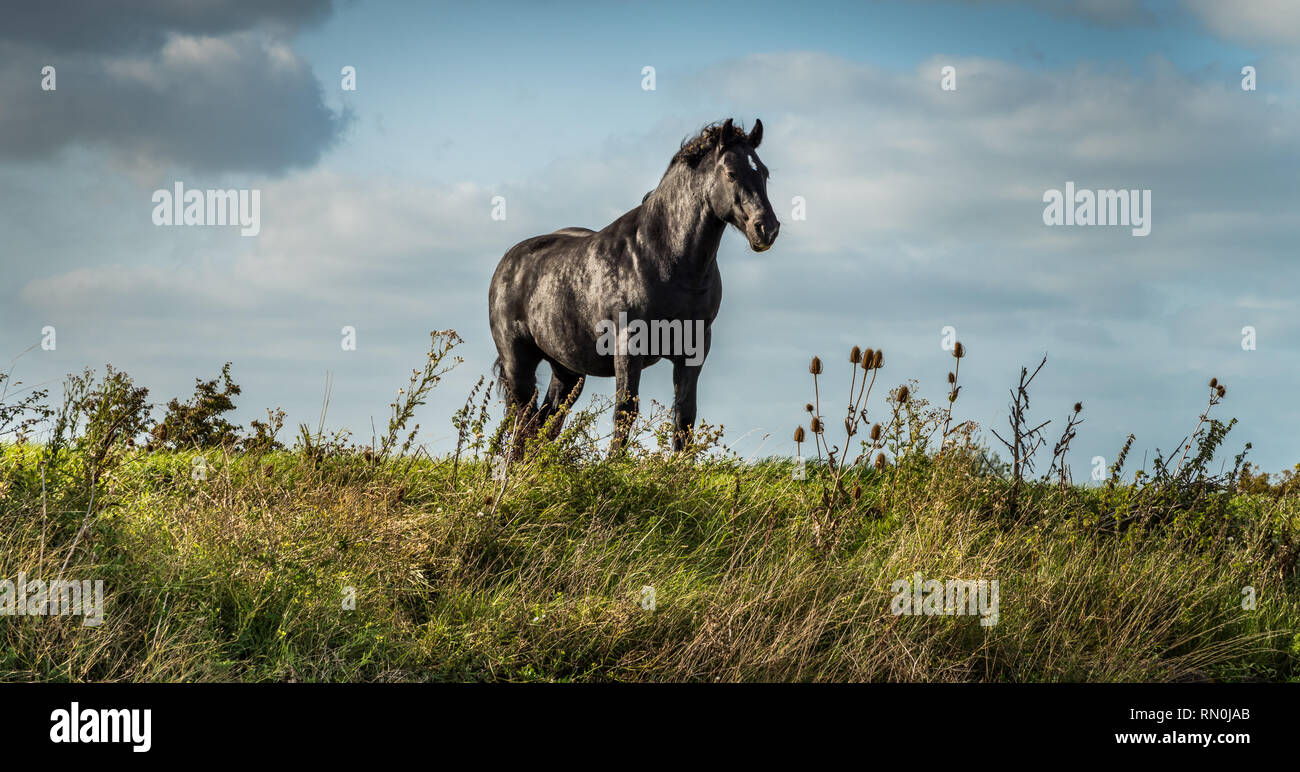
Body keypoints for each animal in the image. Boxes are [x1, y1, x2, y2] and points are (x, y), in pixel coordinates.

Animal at [488, 118, 780, 455]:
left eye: (764, 172)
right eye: (731, 173)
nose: (767, 229)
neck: (663, 255)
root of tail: (508, 262)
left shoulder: (694, 349)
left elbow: (684, 416)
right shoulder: (628, 346)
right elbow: (625, 411)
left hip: (567, 370)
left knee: (545, 423)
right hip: (518, 363)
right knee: (523, 420)